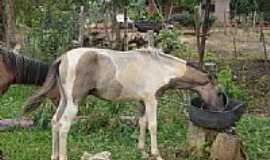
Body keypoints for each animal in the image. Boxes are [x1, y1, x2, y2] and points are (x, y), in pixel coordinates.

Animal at [22, 47, 223, 160]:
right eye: (220, 93)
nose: (219, 111)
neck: (161, 68)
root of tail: (63, 58)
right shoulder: (152, 100)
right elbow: (153, 125)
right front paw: (156, 154)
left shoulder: (142, 101)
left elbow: (142, 123)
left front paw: (142, 151)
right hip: (74, 101)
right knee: (63, 125)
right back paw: (63, 157)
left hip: (64, 100)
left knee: (55, 122)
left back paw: (54, 155)